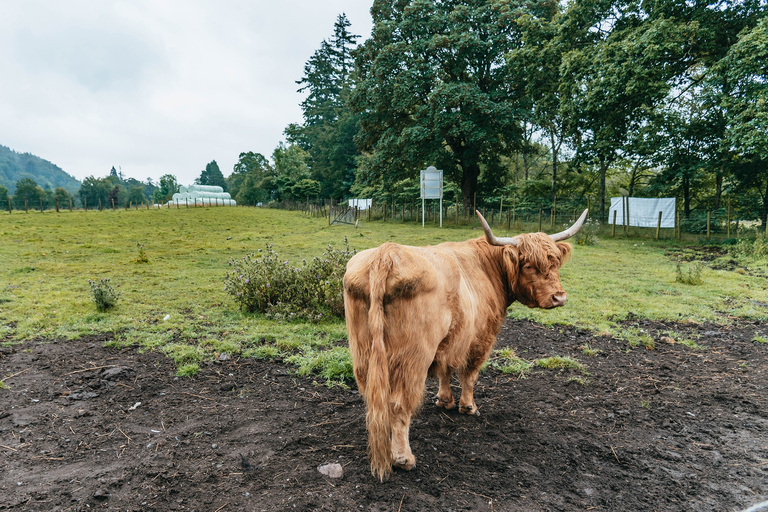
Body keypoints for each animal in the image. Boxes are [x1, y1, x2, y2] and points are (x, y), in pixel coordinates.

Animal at [344, 208, 588, 480]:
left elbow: (446, 370)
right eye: (528, 266)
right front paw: (468, 407)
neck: (488, 268)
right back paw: (403, 458)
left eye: (555, 262)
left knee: (374, 401)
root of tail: (385, 254)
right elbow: (469, 374)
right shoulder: (481, 337)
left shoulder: (452, 340)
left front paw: (444, 401)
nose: (559, 297)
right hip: (412, 357)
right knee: (398, 404)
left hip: (364, 353)